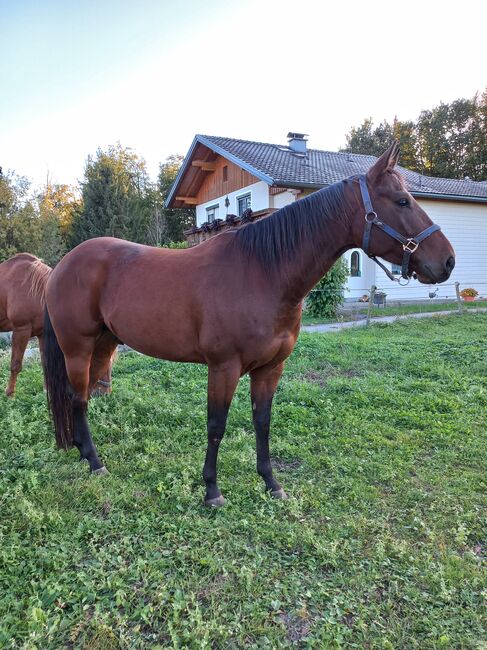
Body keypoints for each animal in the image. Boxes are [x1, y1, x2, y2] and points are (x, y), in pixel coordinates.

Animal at [0, 252, 115, 394]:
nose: (105, 393)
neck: (36, 293)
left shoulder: (42, 334)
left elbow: (45, 362)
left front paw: (46, 390)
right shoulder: (21, 329)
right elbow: (15, 364)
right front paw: (9, 393)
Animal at [43, 144, 458, 504]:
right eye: (402, 201)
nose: (448, 261)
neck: (262, 273)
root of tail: (63, 265)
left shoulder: (270, 368)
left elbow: (262, 422)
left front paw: (271, 483)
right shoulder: (223, 368)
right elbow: (216, 426)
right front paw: (212, 491)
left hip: (104, 343)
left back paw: (84, 453)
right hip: (77, 347)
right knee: (78, 398)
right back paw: (95, 462)